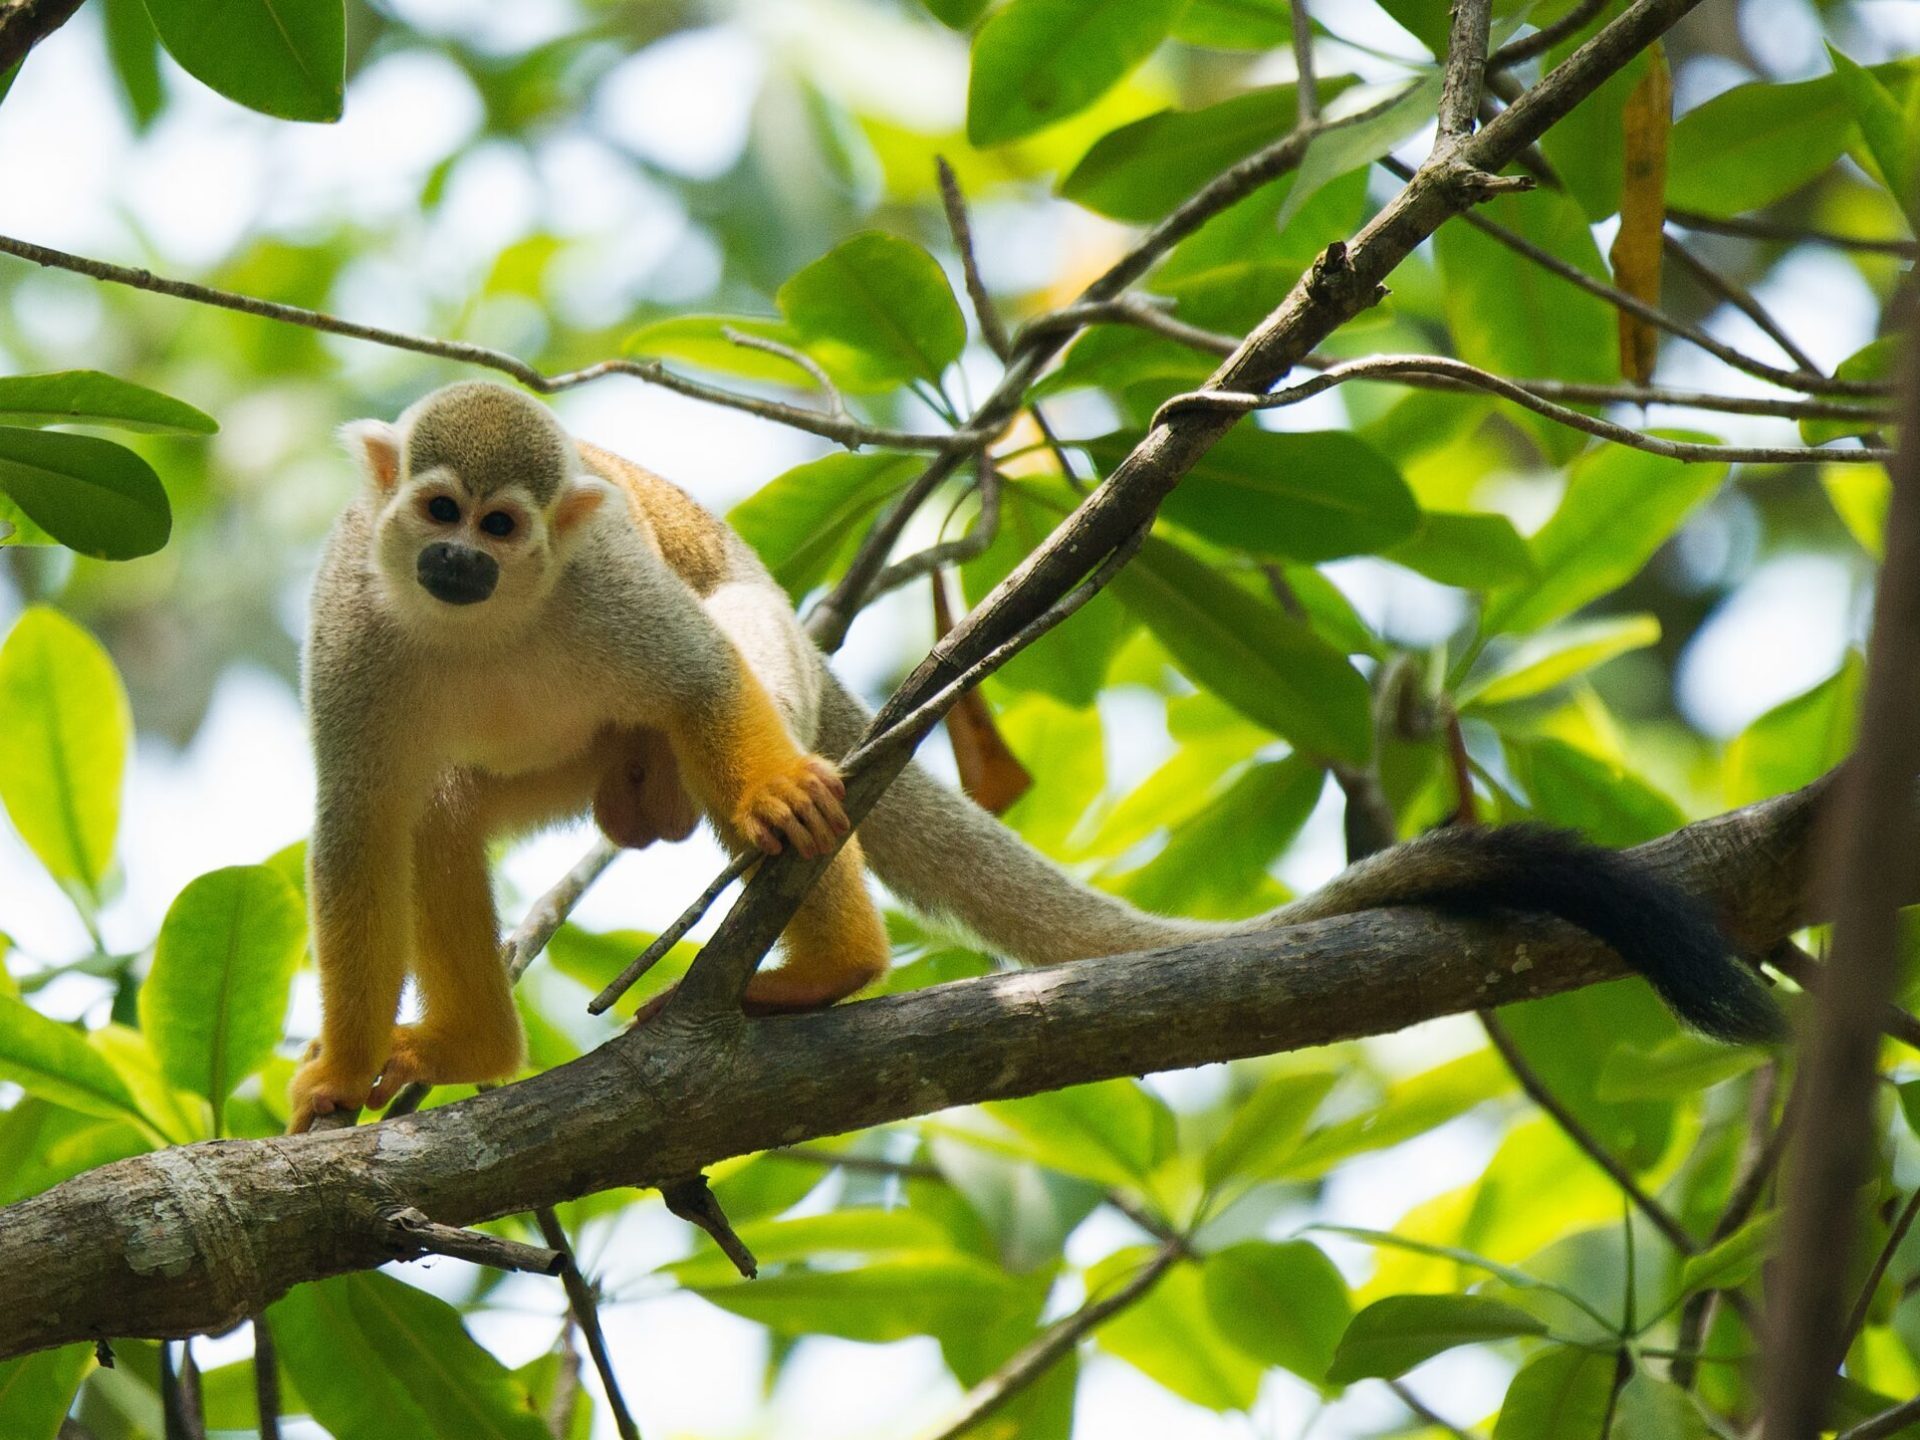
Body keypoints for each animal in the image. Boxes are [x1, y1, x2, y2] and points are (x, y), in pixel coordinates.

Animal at [288, 384, 1781, 1136]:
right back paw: (477, 1042)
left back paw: (830, 954)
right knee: (440, 806)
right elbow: (359, 825)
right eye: (437, 511)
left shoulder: (601, 589)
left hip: (756, 652)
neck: (481, 619)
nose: (461, 561)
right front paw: (341, 1076)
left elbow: (704, 682)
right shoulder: (348, 625)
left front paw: (775, 806)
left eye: (502, 523)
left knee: (738, 689)